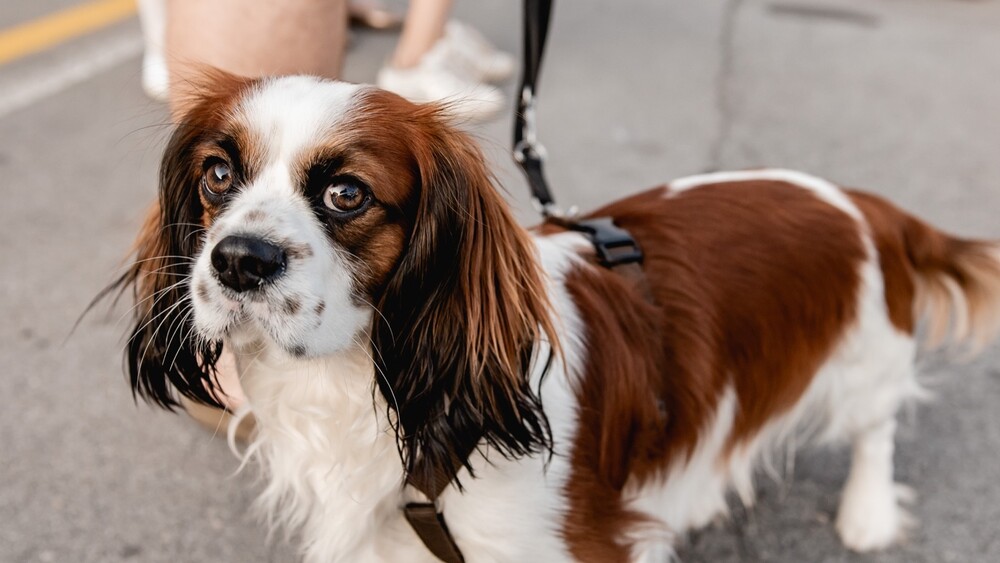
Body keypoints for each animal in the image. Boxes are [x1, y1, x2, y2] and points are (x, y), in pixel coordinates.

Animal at [119, 75, 1000, 563]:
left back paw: (867, 513)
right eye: (218, 175)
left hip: (864, 360)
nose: (239, 260)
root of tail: (864, 202)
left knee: (875, 428)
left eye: (346, 193)